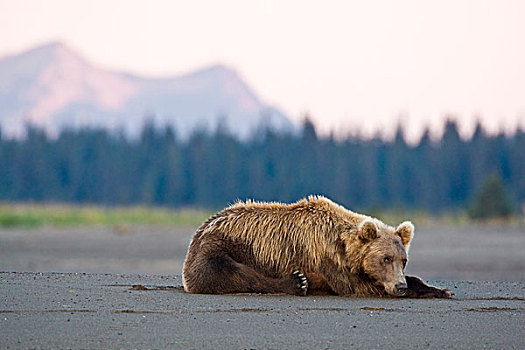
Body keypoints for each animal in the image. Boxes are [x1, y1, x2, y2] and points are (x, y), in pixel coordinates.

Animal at [182, 196, 452, 296]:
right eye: (385, 258)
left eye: (403, 260)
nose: (399, 286)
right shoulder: (325, 257)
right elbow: (358, 286)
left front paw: (439, 289)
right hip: (219, 248)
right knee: (231, 273)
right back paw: (297, 282)